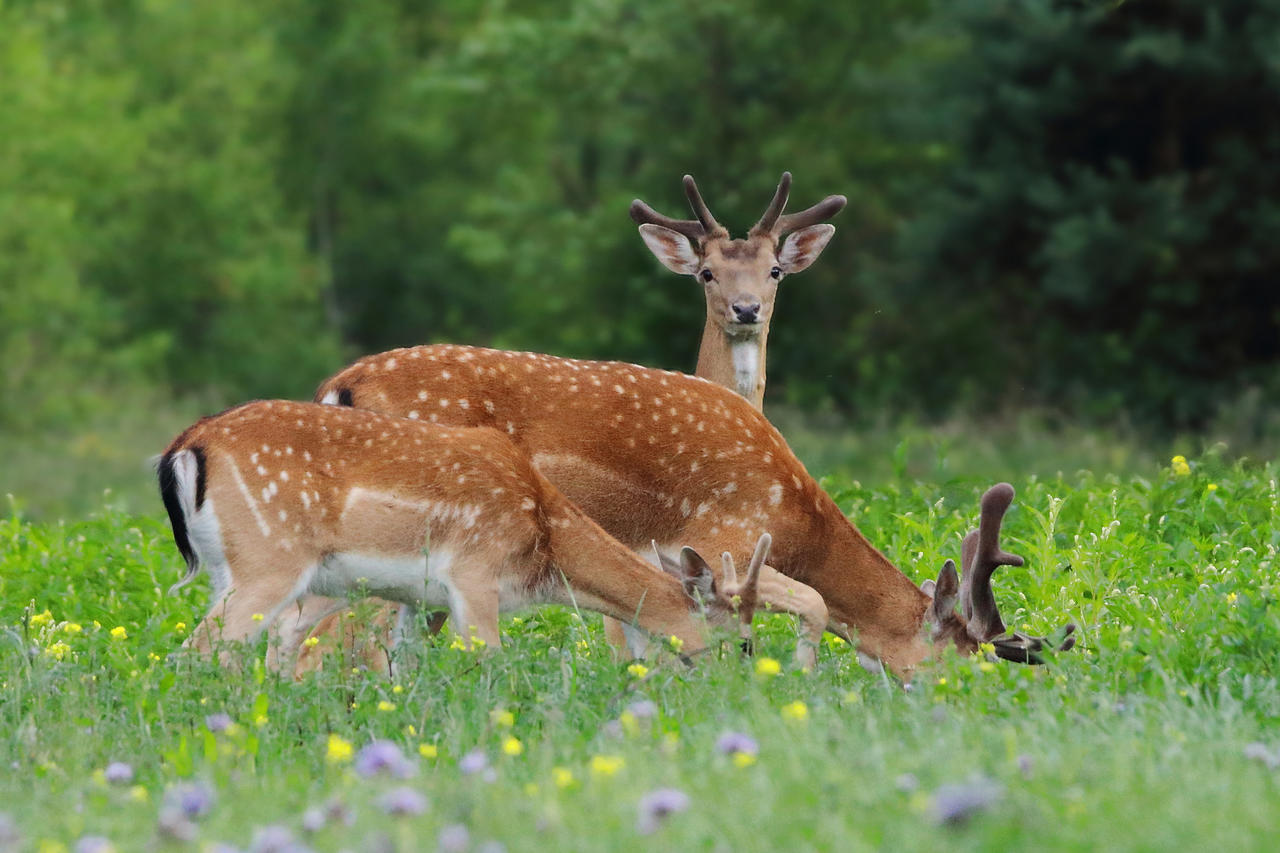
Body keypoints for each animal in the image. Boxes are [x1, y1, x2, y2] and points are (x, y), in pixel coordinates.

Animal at [154, 399, 762, 666]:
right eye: (745, 642)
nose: (735, 691)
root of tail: (185, 446)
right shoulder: (474, 573)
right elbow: (487, 662)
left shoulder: (418, 598)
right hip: (267, 562)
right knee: (197, 650)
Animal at [314, 343, 1075, 676]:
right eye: (958, 665)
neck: (796, 515)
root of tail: (339, 383)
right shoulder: (721, 534)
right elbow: (813, 603)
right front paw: (793, 679)